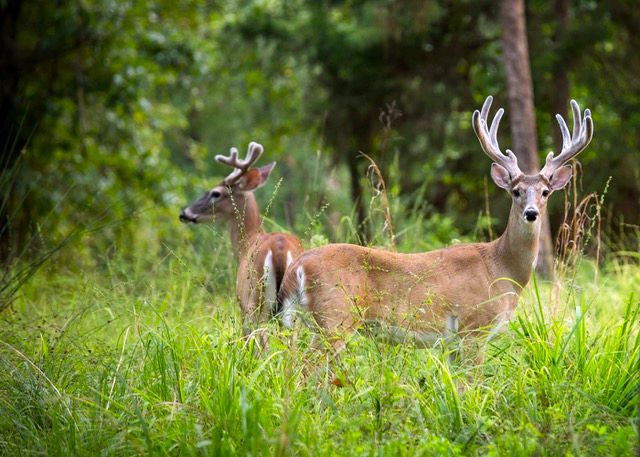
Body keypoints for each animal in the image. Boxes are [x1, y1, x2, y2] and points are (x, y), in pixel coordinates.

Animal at [180, 141, 304, 346]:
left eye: (216, 193)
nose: (184, 213)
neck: (247, 243)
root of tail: (279, 249)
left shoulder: (242, 304)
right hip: (294, 307)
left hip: (257, 299)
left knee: (262, 337)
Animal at [278, 96, 593, 362]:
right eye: (516, 191)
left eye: (545, 192)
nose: (530, 213)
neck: (501, 269)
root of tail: (297, 267)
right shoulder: (472, 328)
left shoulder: (453, 343)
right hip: (335, 316)